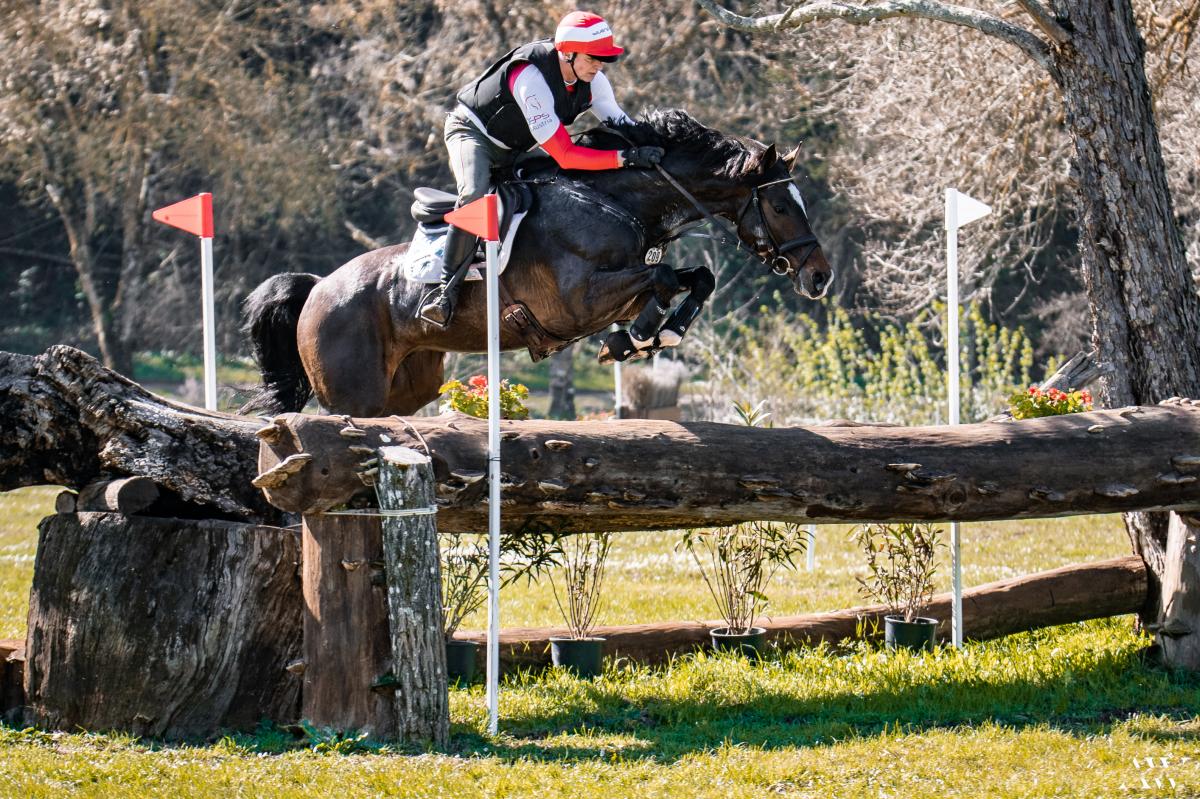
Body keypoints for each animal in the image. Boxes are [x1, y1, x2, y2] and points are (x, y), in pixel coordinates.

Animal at [238, 109, 830, 417]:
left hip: (408, 387)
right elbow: (662, 279)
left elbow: (693, 278)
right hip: (352, 392)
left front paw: (657, 335)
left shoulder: (621, 285)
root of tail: (317, 287)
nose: (820, 277)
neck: (614, 202)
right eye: (781, 205)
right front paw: (634, 338)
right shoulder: (576, 303)